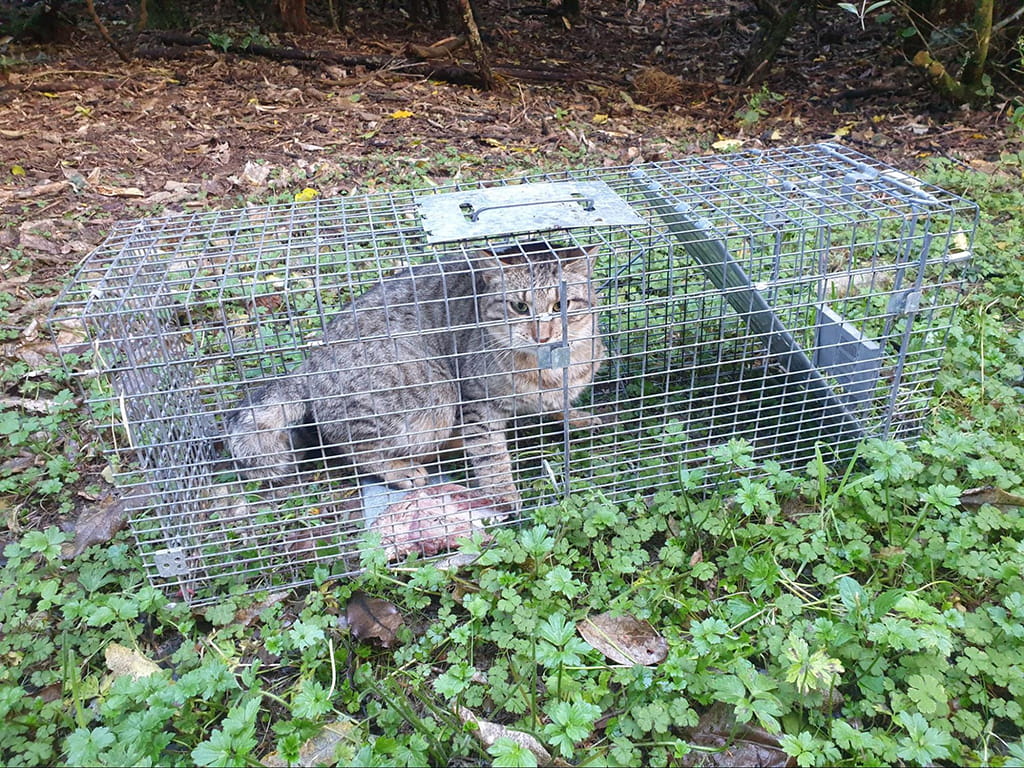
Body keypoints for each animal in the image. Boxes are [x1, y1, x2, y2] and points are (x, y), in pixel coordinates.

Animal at [224, 243, 602, 514]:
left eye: (561, 305)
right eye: (520, 307)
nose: (542, 334)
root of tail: (312, 361)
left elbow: (560, 406)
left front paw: (577, 417)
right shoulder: (478, 403)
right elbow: (490, 453)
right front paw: (502, 491)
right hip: (433, 394)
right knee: (349, 444)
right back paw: (401, 468)